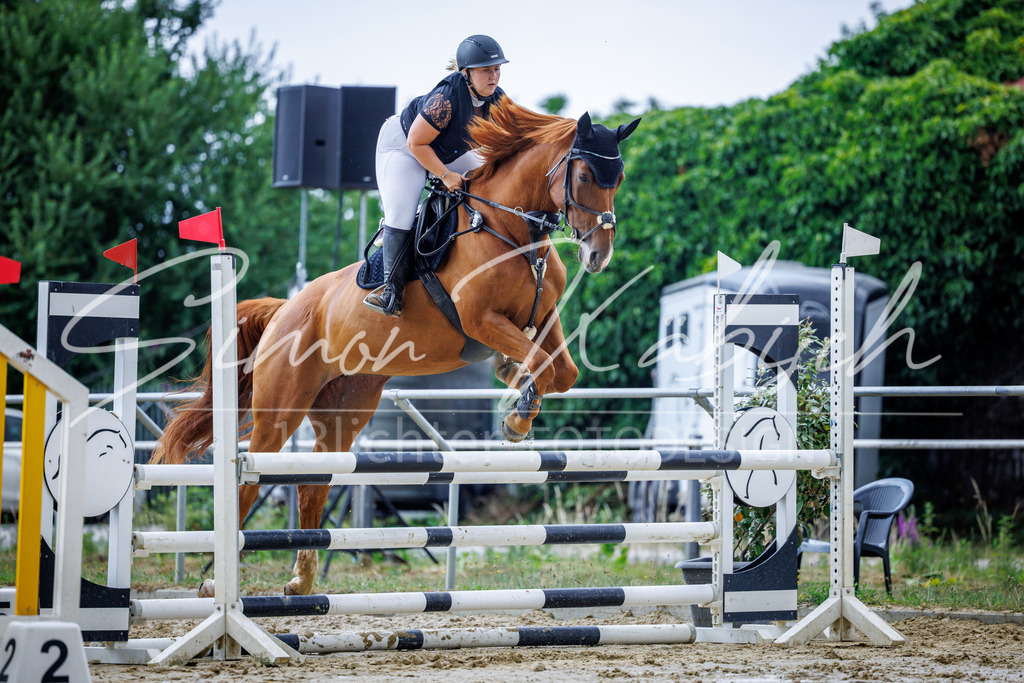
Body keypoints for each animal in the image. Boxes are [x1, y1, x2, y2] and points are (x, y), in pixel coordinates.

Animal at [154, 100, 641, 596]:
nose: (598, 255)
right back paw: (217, 583)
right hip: (281, 407)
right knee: (251, 478)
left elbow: (560, 371)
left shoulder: (543, 317)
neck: (511, 231)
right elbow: (542, 363)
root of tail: (285, 309)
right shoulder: (481, 321)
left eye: (618, 178)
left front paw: (512, 383)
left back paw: (302, 580)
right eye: (584, 175)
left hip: (345, 407)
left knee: (313, 483)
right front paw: (516, 420)